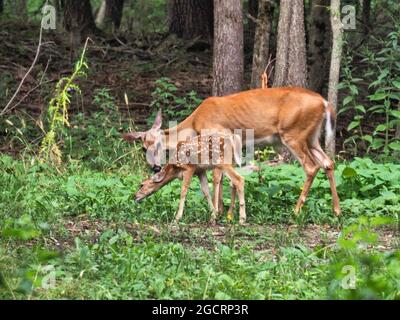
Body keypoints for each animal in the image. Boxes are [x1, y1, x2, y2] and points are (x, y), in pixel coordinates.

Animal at [124, 87, 340, 215]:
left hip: (293, 134)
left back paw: (296, 210)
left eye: (152, 145)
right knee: (328, 162)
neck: (195, 123)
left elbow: (217, 176)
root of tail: (324, 103)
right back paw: (336, 210)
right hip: (311, 137)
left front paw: (219, 210)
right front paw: (227, 211)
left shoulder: (218, 136)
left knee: (311, 166)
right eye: (144, 147)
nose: (154, 168)